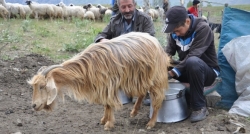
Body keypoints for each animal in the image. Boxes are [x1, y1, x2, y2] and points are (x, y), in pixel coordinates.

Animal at [28, 31, 171, 131]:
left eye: (42, 86)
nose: (34, 105)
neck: (88, 65)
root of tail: (156, 42)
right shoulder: (103, 86)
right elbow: (106, 104)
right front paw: (103, 120)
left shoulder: (109, 85)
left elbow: (109, 103)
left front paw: (108, 124)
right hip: (139, 77)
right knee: (142, 92)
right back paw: (134, 112)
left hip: (155, 77)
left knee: (157, 98)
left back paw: (151, 123)